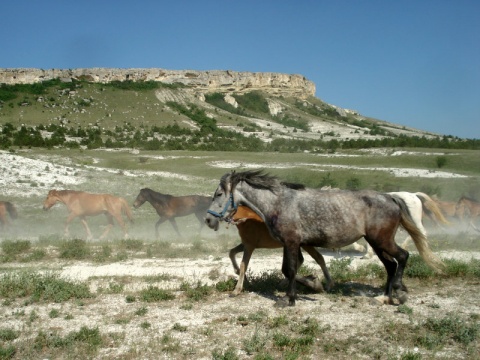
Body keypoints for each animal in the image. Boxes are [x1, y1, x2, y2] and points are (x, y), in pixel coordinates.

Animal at [204, 170, 444, 306]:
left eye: (219, 194)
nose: (208, 220)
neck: (280, 203)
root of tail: (392, 198)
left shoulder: (292, 242)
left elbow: (291, 269)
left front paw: (290, 299)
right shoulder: (290, 243)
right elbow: (288, 269)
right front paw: (312, 285)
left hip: (381, 240)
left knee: (402, 257)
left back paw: (399, 292)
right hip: (376, 243)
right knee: (390, 265)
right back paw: (384, 297)